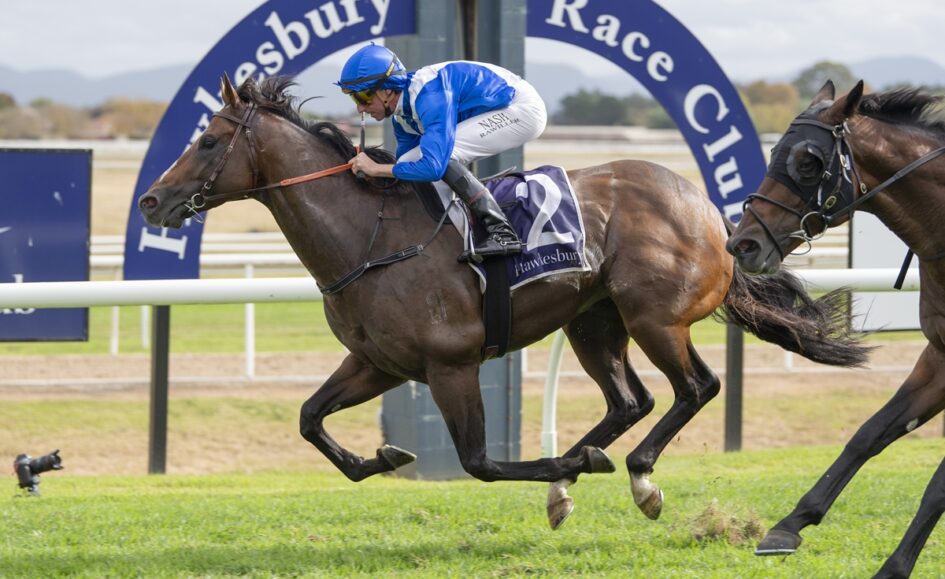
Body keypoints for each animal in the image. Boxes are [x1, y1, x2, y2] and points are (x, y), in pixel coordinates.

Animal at [138, 74, 867, 530]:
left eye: (207, 141)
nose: (150, 200)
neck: (368, 234)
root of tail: (712, 213)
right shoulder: (379, 363)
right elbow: (309, 418)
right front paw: (382, 458)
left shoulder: (450, 364)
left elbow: (478, 463)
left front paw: (569, 466)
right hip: (593, 321)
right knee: (629, 400)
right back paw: (576, 476)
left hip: (653, 317)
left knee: (695, 387)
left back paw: (633, 475)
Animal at [727, 80, 945, 578]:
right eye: (774, 152)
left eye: (808, 161)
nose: (742, 244)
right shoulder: (939, 357)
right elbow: (869, 433)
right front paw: (789, 524)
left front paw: (893, 567)